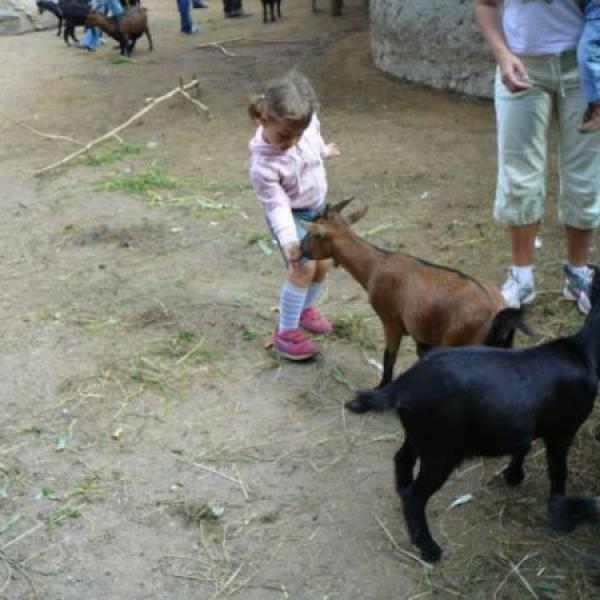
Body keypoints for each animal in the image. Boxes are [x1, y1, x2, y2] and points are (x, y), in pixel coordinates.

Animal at [302, 199, 532, 392]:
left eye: (312, 234)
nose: (299, 251)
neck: (376, 265)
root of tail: (498, 312)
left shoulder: (391, 322)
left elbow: (389, 356)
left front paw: (382, 386)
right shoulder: (421, 333)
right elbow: (421, 357)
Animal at [350, 268, 600, 564]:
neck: (583, 352)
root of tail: (404, 384)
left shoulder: (527, 422)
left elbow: (523, 445)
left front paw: (514, 476)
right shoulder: (563, 430)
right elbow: (559, 472)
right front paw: (563, 515)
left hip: (418, 434)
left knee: (402, 461)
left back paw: (404, 501)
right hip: (441, 451)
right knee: (416, 496)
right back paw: (429, 548)